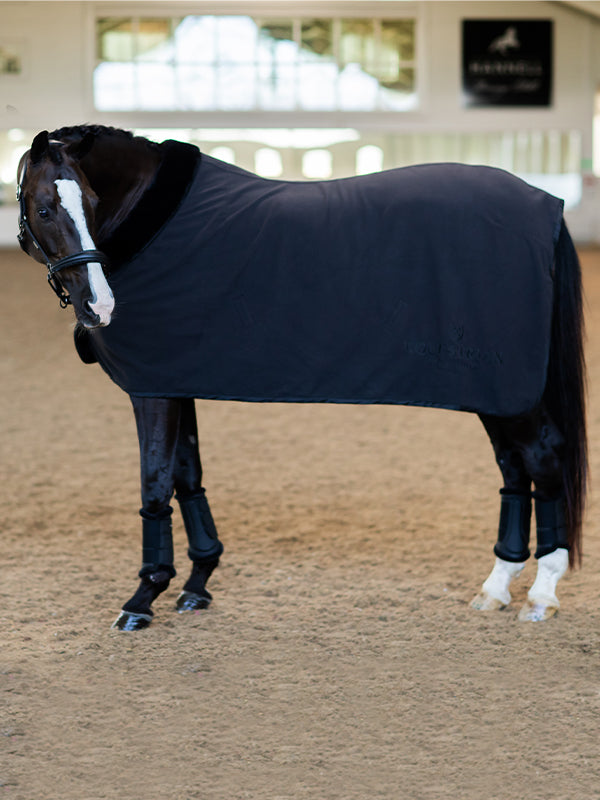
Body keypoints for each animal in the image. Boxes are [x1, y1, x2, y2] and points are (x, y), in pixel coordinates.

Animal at [17, 126, 584, 624]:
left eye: (91, 201)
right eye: (44, 208)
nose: (99, 306)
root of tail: (548, 206)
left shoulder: (151, 389)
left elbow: (155, 484)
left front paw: (143, 598)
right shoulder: (174, 380)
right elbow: (188, 476)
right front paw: (197, 583)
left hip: (514, 393)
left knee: (543, 459)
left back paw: (541, 594)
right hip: (497, 393)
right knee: (514, 469)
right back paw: (496, 587)